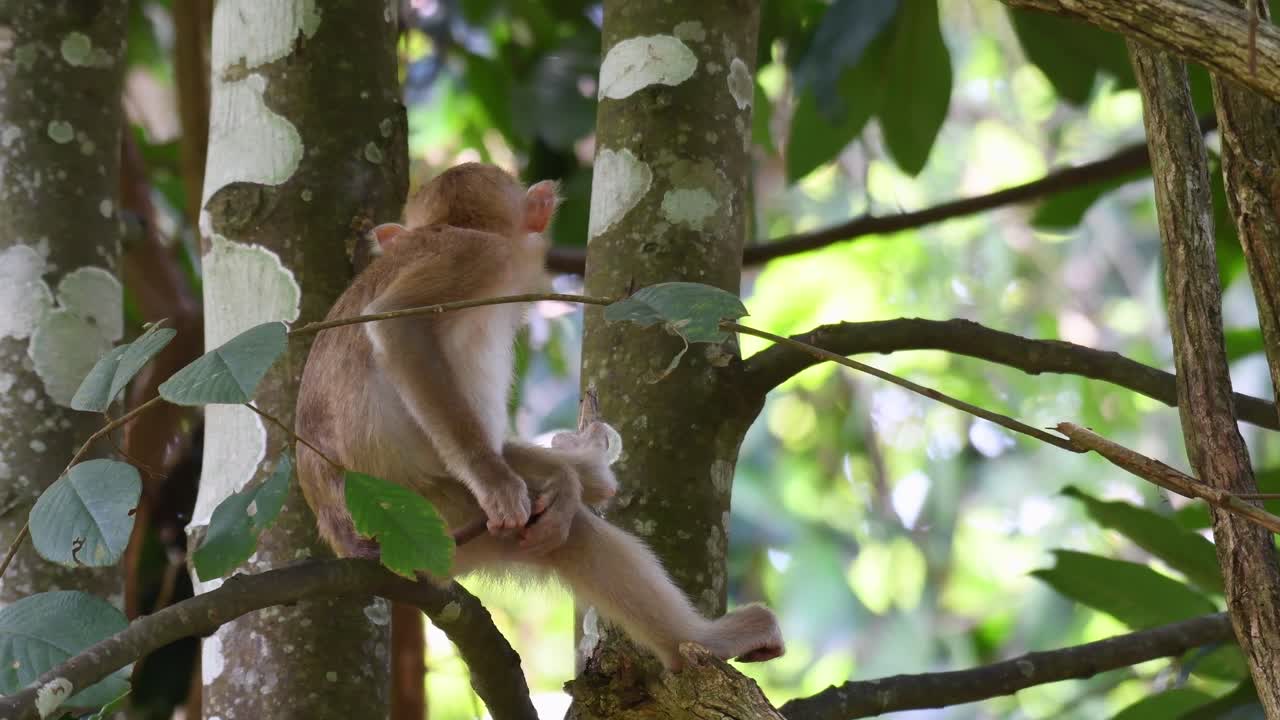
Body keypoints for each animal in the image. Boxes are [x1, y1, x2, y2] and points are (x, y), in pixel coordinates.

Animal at [295, 162, 784, 670]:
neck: (454, 226)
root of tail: (345, 538)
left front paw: (569, 478)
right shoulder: (478, 256)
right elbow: (397, 324)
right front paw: (498, 480)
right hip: (429, 519)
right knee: (578, 537)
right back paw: (700, 642)